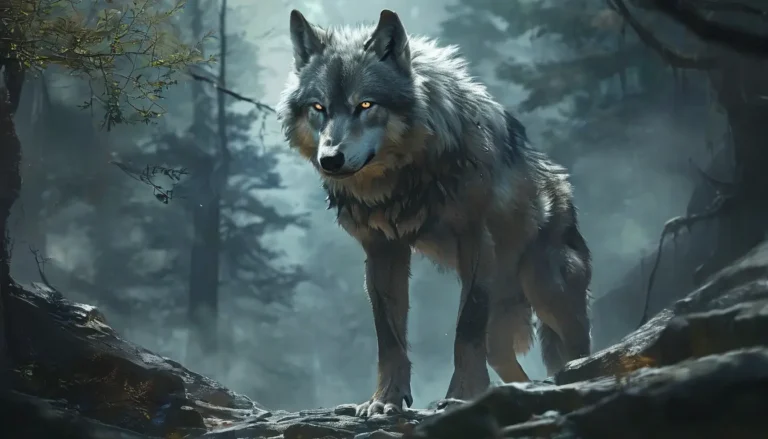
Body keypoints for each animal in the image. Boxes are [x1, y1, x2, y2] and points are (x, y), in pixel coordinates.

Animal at [277, 9, 592, 417]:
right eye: (319, 108)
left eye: (366, 105)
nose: (330, 159)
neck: (402, 180)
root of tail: (565, 190)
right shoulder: (382, 251)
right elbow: (388, 336)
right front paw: (384, 400)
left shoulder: (475, 240)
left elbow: (465, 328)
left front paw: (462, 396)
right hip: (503, 326)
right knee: (509, 363)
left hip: (547, 292)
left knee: (577, 350)